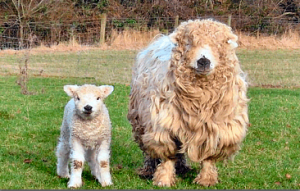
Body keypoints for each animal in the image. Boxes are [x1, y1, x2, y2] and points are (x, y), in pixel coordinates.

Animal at [127, 19, 250, 187]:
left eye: (219, 44)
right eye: (188, 43)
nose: (203, 61)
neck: (201, 100)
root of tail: (162, 38)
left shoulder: (218, 128)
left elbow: (208, 157)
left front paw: (206, 179)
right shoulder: (164, 124)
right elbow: (167, 155)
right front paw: (164, 179)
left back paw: (182, 168)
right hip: (141, 120)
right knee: (149, 150)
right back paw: (148, 170)